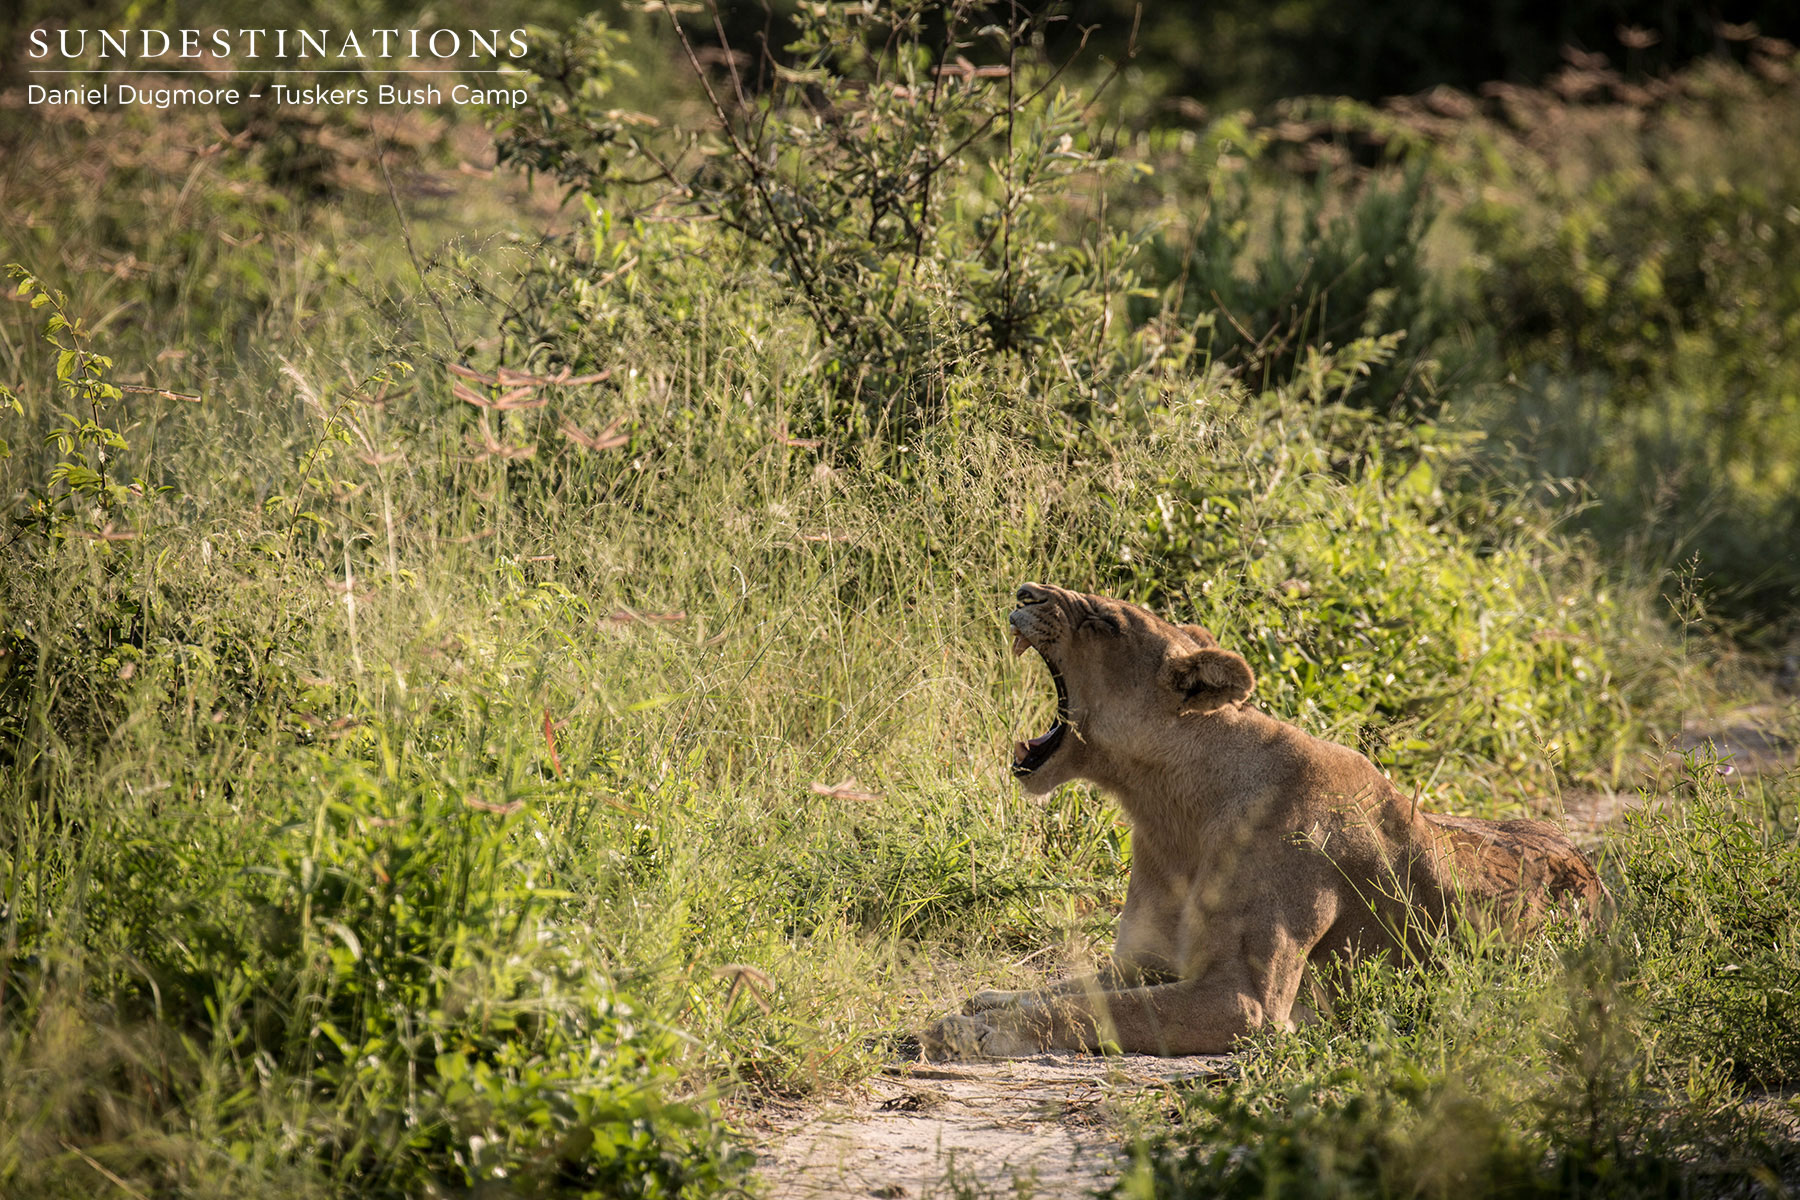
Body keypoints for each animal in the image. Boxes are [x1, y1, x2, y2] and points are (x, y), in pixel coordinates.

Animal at [920, 582, 1605, 1059]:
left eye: (1104, 622)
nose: (1024, 594)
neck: (1169, 811)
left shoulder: (1242, 1001)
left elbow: (1096, 1012)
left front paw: (972, 1030)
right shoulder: (1141, 963)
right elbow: (1068, 987)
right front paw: (987, 998)